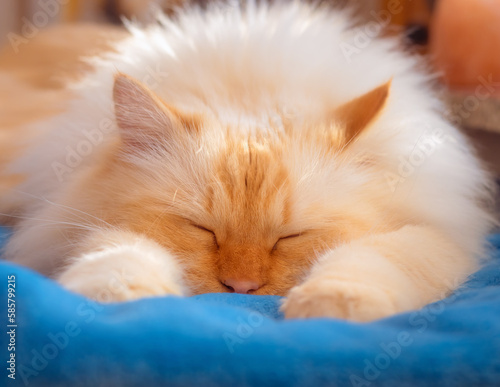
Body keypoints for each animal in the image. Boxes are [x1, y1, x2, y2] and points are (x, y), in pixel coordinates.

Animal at [0, 0, 494, 322]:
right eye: (202, 230)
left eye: (290, 237)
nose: (241, 290)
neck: (253, 89)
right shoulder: (74, 221)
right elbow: (118, 253)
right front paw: (128, 299)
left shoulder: (439, 231)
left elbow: (372, 258)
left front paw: (331, 306)